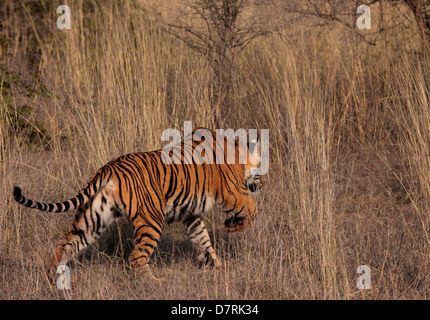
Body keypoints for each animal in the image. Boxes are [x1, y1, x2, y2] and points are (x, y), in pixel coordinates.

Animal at [11, 127, 262, 280]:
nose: (262, 183)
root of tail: (109, 167)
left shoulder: (190, 214)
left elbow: (203, 239)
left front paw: (215, 265)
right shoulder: (234, 193)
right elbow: (252, 210)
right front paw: (231, 226)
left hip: (93, 218)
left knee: (66, 243)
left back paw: (55, 275)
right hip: (151, 220)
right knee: (136, 258)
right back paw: (155, 283)